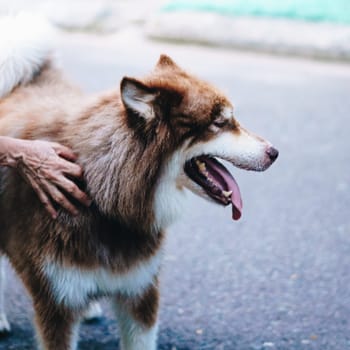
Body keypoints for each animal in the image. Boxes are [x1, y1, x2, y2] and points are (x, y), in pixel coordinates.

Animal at [0, 13, 278, 350]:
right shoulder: (56, 307)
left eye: (231, 119)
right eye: (221, 122)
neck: (102, 199)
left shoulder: (140, 293)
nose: (274, 153)